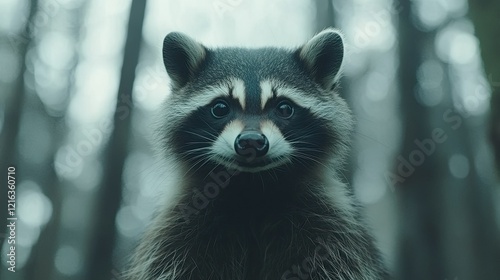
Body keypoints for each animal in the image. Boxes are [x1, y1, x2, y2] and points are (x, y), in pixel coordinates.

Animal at [126, 29, 390, 280]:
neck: (252, 187)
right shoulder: (177, 233)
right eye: (220, 108)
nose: (251, 142)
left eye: (284, 108)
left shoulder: (332, 233)